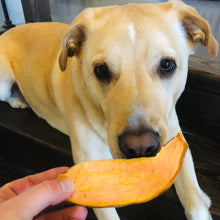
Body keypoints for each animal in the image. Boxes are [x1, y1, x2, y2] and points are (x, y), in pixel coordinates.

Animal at [0, 0, 217, 220]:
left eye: (167, 65)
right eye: (101, 70)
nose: (141, 147)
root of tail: (8, 31)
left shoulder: (177, 139)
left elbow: (194, 200)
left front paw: (201, 201)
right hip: (3, 84)